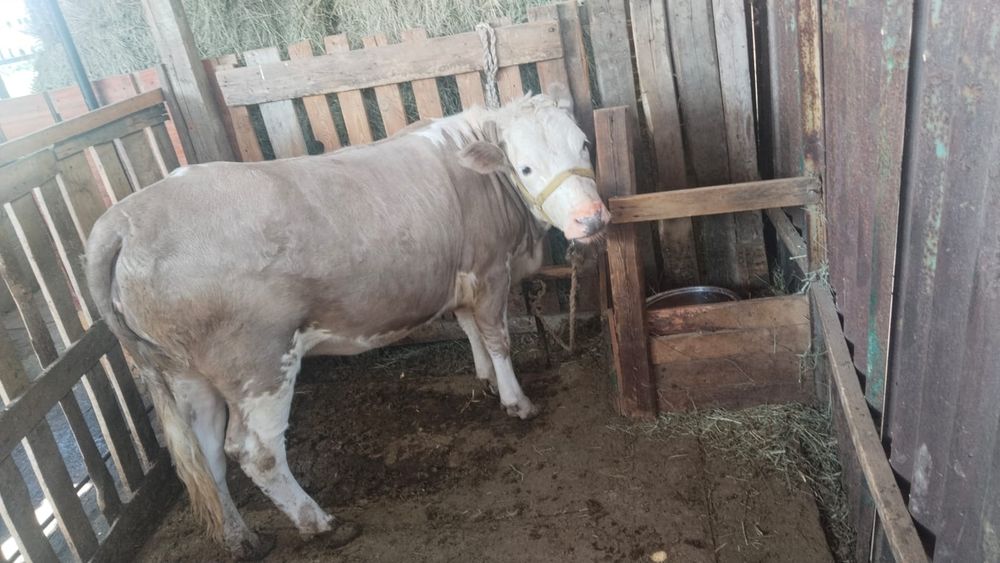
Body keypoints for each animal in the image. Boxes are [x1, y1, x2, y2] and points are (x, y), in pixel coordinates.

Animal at [84, 87, 609, 558]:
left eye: (584, 143)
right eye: (525, 166)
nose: (590, 219)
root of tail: (122, 219)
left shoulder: (459, 275)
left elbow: (467, 328)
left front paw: (482, 378)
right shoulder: (489, 270)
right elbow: (497, 337)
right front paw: (516, 401)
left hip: (184, 372)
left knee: (207, 454)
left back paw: (243, 539)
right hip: (259, 362)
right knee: (255, 452)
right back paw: (320, 523)